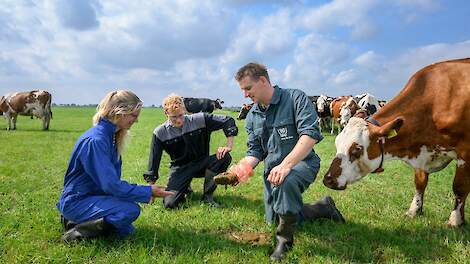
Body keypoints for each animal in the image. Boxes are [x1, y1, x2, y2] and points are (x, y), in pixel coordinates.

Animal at [324, 57, 470, 227]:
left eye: (357, 149)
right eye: (337, 144)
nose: (327, 179)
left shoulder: (465, 153)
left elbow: (459, 187)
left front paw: (455, 221)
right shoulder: (420, 149)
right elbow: (420, 182)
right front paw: (414, 210)